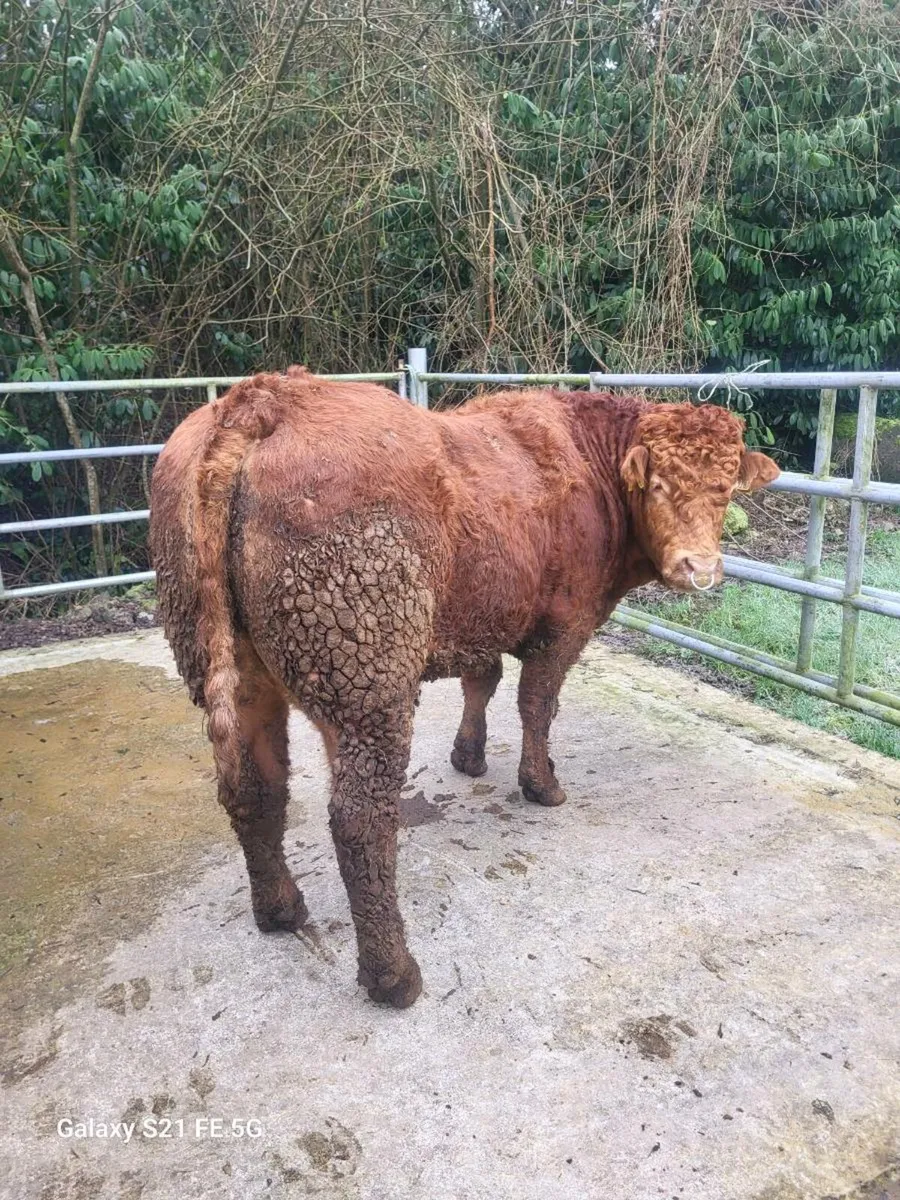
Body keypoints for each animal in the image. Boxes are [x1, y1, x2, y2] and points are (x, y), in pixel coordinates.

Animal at [149, 368, 778, 1008]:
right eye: (655, 484)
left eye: (725, 489)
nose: (699, 569)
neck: (589, 459)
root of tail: (265, 395)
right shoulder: (564, 623)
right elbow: (536, 704)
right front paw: (541, 784)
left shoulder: (487, 616)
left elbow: (483, 682)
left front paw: (468, 755)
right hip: (366, 681)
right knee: (359, 819)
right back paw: (394, 975)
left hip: (236, 671)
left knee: (255, 789)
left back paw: (280, 909)